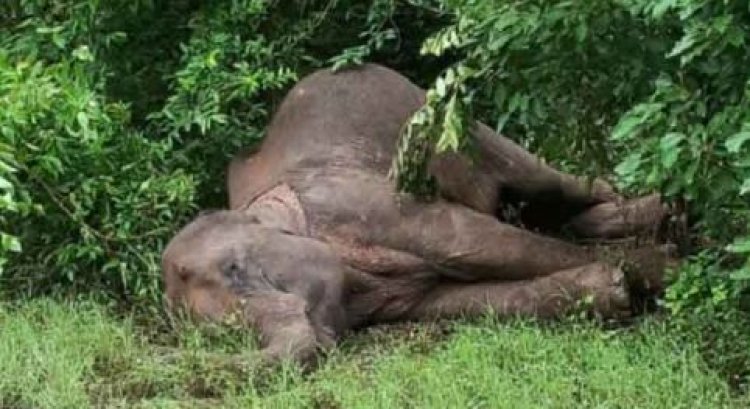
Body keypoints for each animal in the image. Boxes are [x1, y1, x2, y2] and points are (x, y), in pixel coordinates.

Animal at [162, 63, 674, 366]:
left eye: (236, 268)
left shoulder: (362, 205)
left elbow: (476, 242)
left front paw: (659, 273)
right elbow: (462, 299)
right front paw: (614, 291)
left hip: (453, 122)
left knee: (544, 181)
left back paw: (670, 214)